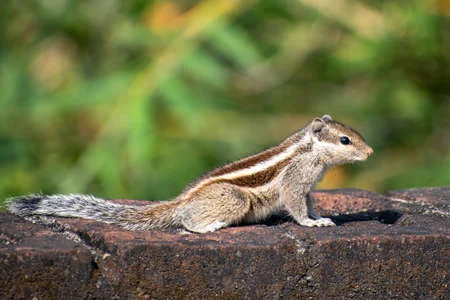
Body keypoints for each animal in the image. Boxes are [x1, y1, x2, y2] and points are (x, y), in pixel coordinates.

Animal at [7, 113, 372, 233]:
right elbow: (295, 205)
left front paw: (321, 218)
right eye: (345, 140)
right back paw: (208, 226)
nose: (369, 152)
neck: (309, 149)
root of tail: (182, 200)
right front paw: (311, 224)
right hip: (235, 200)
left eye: (354, 133)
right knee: (186, 222)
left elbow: (309, 203)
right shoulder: (296, 181)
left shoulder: (307, 186)